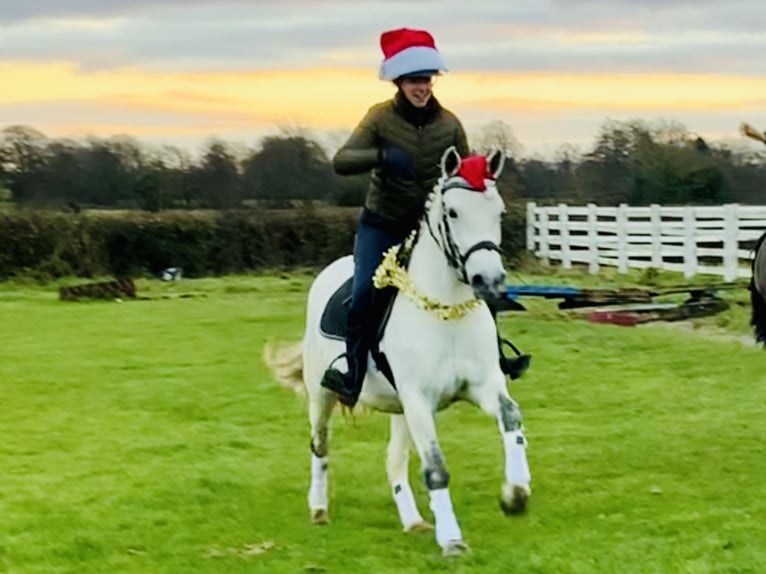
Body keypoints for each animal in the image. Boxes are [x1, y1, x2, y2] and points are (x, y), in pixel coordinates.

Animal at [268, 147, 532, 560]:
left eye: (499, 212)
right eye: (452, 212)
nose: (488, 280)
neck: (444, 310)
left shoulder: (482, 386)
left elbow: (510, 418)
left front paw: (516, 494)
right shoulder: (419, 399)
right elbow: (436, 468)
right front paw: (452, 540)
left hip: (399, 410)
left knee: (393, 461)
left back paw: (413, 521)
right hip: (323, 395)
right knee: (320, 444)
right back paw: (319, 509)